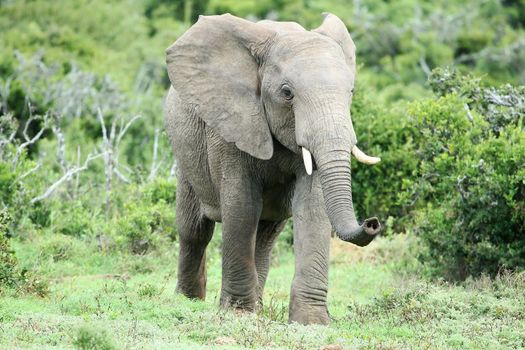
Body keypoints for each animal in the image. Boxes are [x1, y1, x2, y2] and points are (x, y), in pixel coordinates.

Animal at [164, 11, 380, 326]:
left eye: (350, 91)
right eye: (287, 93)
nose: (372, 222)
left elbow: (312, 208)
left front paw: (311, 322)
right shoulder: (231, 124)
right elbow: (242, 206)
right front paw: (238, 314)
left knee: (265, 237)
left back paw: (258, 306)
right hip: (185, 152)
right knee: (194, 230)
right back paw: (189, 300)